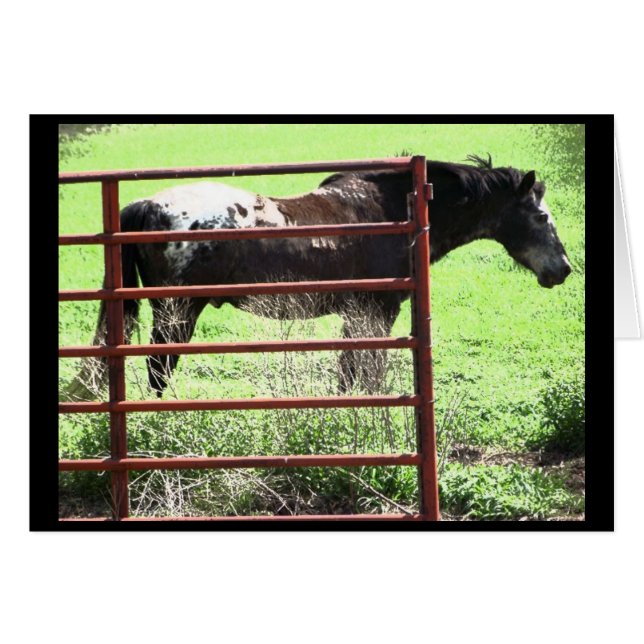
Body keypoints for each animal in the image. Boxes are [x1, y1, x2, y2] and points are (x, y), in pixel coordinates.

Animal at [66, 155, 572, 400]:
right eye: (541, 216)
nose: (563, 269)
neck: (402, 209)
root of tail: (145, 205)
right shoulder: (378, 310)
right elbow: (368, 372)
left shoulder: (358, 313)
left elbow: (349, 374)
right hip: (176, 314)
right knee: (158, 369)